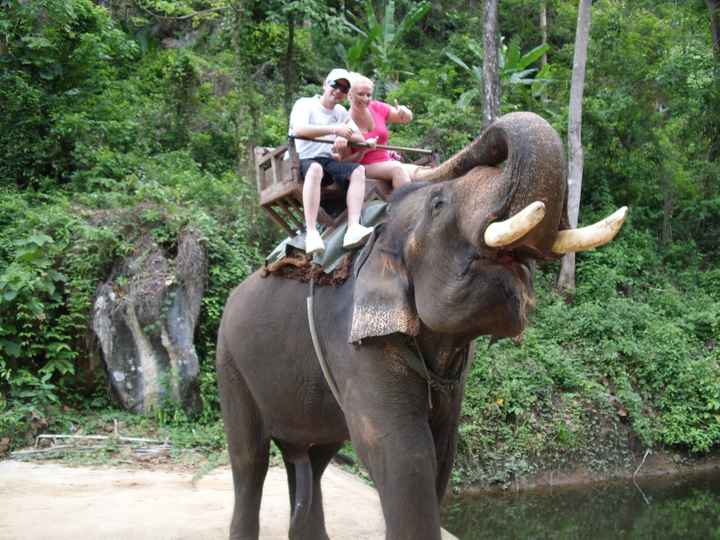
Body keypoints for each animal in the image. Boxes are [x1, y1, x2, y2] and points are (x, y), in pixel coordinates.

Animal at [217, 112, 628, 540]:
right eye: (438, 204)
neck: (379, 234)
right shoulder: (354, 341)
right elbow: (404, 452)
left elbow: (443, 450)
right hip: (230, 360)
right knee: (249, 457)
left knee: (314, 456)